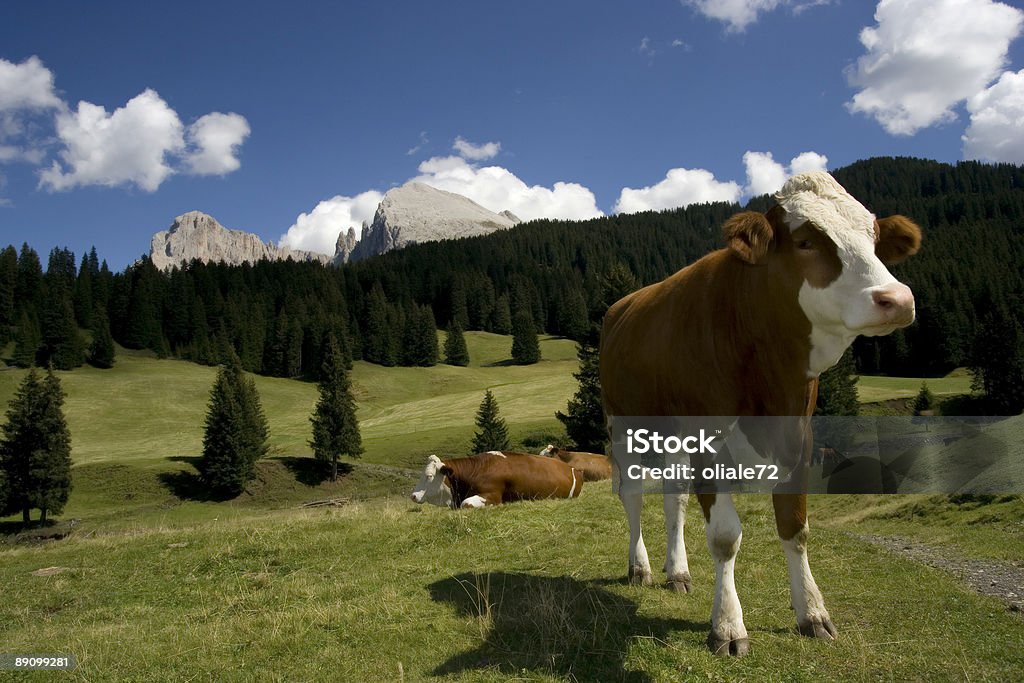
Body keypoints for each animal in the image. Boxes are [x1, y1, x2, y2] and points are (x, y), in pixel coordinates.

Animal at [598, 172, 921, 655]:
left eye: (875, 239)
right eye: (805, 242)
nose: (896, 298)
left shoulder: (800, 437)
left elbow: (795, 527)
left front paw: (813, 612)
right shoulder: (707, 440)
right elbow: (725, 537)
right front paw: (729, 626)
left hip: (673, 433)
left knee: (674, 496)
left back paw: (678, 571)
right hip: (623, 426)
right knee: (633, 494)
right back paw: (641, 567)